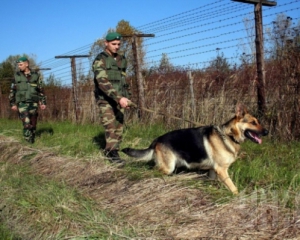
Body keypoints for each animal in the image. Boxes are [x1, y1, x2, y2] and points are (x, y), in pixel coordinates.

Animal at [120, 104, 268, 194]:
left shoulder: (214, 171)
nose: (267, 132)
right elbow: (233, 187)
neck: (228, 135)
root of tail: (157, 139)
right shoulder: (221, 170)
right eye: (253, 122)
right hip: (168, 167)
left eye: (257, 122)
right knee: (152, 170)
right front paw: (238, 197)